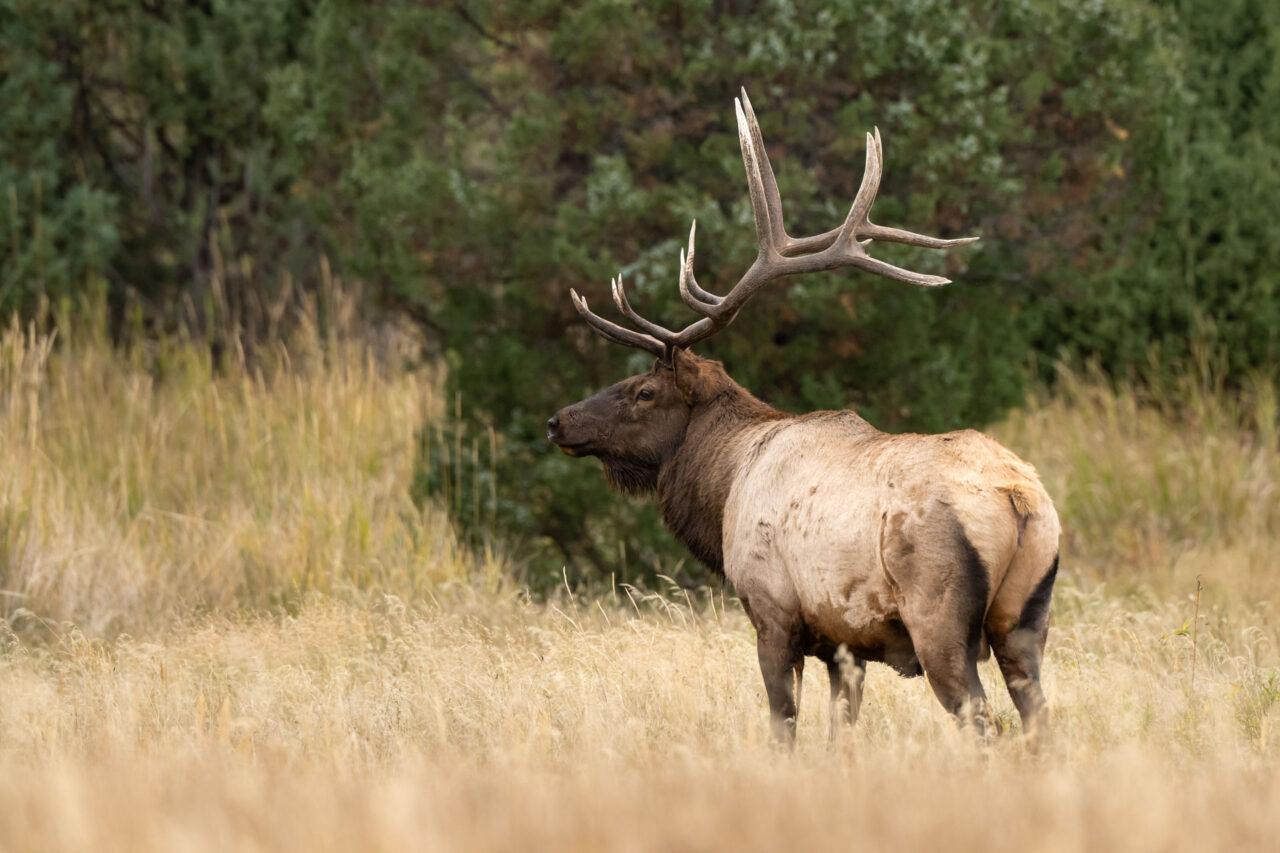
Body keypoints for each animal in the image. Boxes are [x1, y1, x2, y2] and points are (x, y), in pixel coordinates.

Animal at [547, 89, 1059, 742]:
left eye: (644, 391)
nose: (559, 421)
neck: (724, 488)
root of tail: (1018, 499)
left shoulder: (773, 611)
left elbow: (783, 725)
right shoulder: (845, 644)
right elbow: (842, 730)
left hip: (938, 614)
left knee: (981, 720)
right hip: (1026, 621)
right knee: (1040, 719)